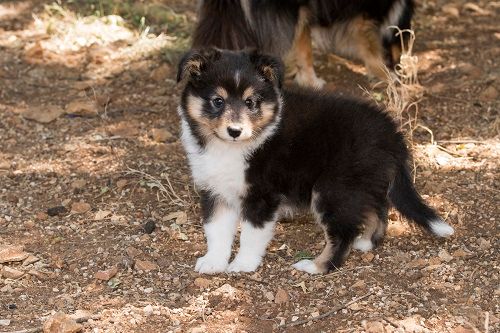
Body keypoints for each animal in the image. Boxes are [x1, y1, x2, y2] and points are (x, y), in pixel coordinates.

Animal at [176, 48, 454, 272]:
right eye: (217, 101)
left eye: (250, 102)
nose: (235, 131)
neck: (229, 148)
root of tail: (392, 134)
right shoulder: (215, 191)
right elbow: (216, 230)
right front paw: (214, 262)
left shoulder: (261, 196)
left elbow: (251, 234)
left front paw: (242, 265)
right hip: (362, 184)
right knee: (377, 210)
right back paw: (365, 242)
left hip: (333, 188)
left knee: (343, 234)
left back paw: (317, 266)